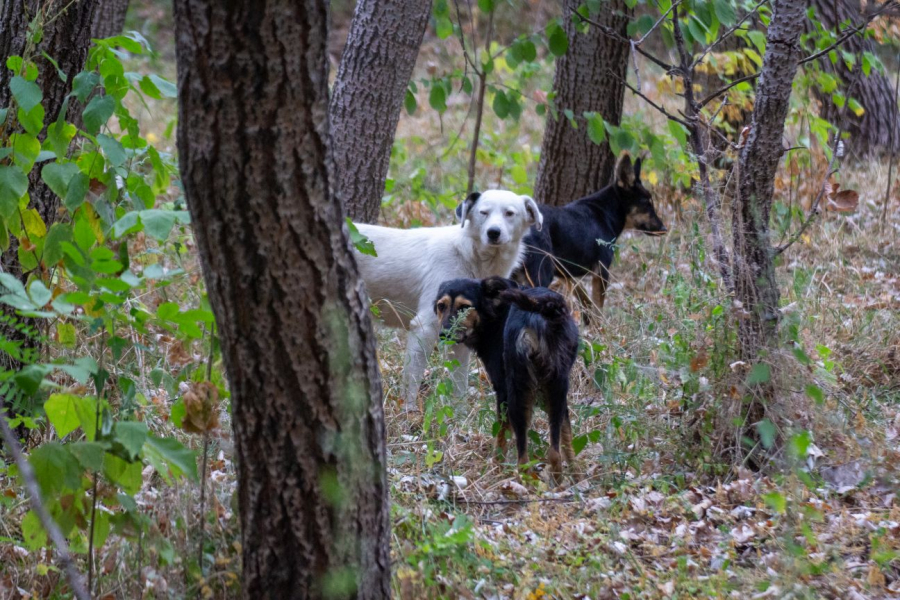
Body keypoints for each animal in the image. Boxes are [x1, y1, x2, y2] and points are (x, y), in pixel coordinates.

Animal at [356, 190, 544, 410]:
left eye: (509, 213)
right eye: (484, 212)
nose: (493, 233)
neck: (468, 256)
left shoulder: (459, 338)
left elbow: (459, 388)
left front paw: (459, 415)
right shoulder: (424, 327)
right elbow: (412, 381)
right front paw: (409, 412)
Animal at [434, 276, 576, 478]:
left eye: (464, 307)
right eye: (441, 306)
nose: (444, 334)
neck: (494, 316)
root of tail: (542, 310)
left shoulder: (503, 391)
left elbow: (501, 436)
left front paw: (495, 468)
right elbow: (567, 441)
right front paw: (578, 475)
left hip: (517, 393)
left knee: (523, 457)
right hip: (557, 386)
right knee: (554, 453)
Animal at [516, 152, 664, 310]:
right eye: (647, 203)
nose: (664, 228)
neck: (606, 212)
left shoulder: (566, 273)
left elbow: (586, 302)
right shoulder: (601, 271)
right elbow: (598, 308)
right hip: (541, 273)